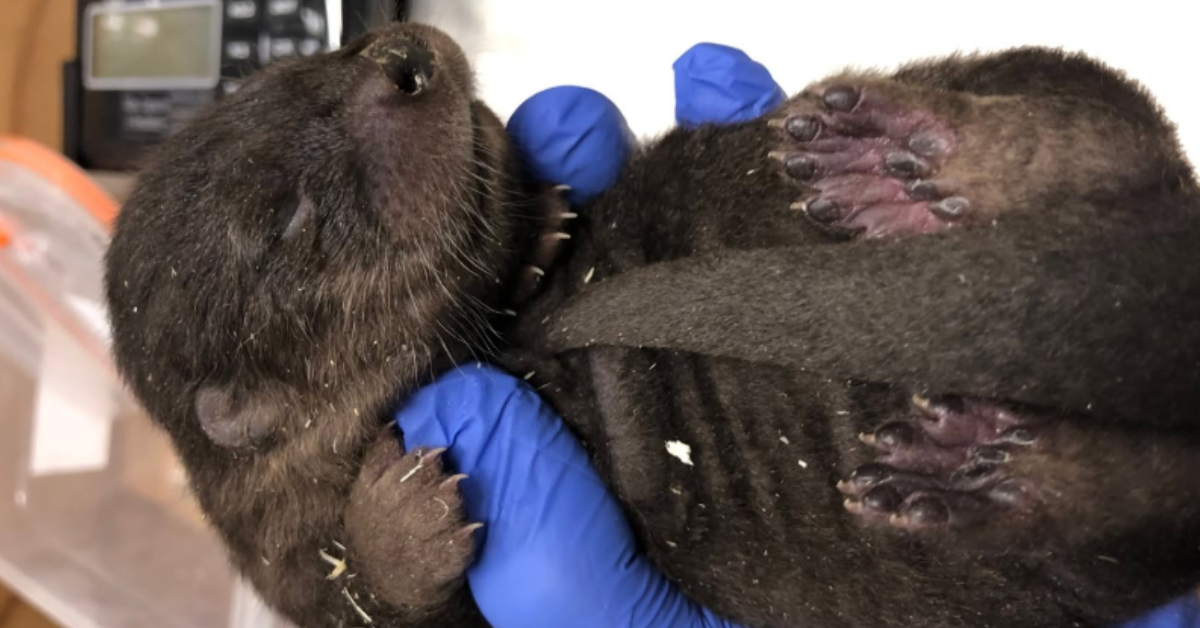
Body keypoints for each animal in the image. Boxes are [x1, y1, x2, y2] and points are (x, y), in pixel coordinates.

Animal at [104, 22, 1200, 628]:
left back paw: (922, 158)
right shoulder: (294, 566)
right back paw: (976, 466)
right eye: (289, 219)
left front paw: (539, 226)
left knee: (1102, 112)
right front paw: (398, 518)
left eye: (314, 62)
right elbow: (396, 603)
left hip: (1045, 83)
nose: (401, 57)